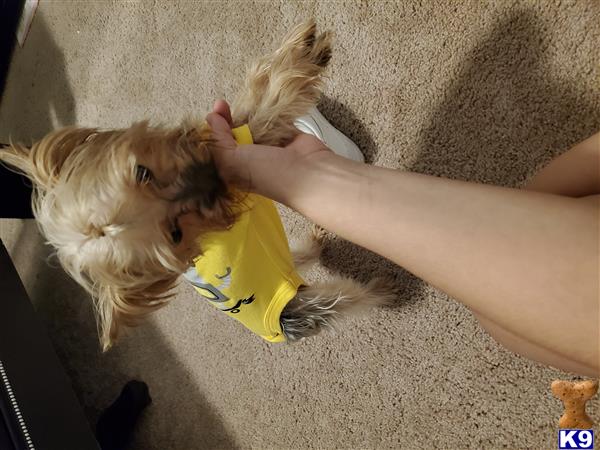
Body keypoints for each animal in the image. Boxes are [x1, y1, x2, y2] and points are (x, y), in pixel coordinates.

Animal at [1, 20, 394, 352]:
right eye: (175, 234)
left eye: (142, 172)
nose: (210, 177)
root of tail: (280, 329)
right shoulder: (246, 145)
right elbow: (271, 107)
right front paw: (302, 56)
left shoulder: (225, 136)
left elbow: (253, 96)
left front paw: (301, 46)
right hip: (312, 304)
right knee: (346, 298)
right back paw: (383, 289)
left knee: (298, 255)